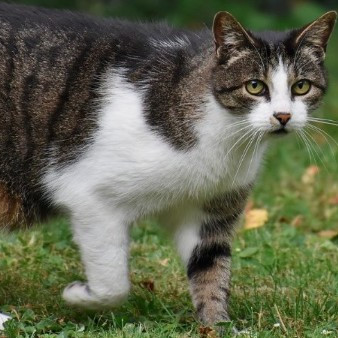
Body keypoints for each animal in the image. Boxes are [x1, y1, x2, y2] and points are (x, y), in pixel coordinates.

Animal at [0, 2, 336, 328]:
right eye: (254, 86)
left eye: (301, 87)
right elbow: (113, 284)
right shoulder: (89, 197)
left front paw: (217, 327)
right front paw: (77, 296)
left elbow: (211, 272)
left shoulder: (211, 213)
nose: (283, 116)